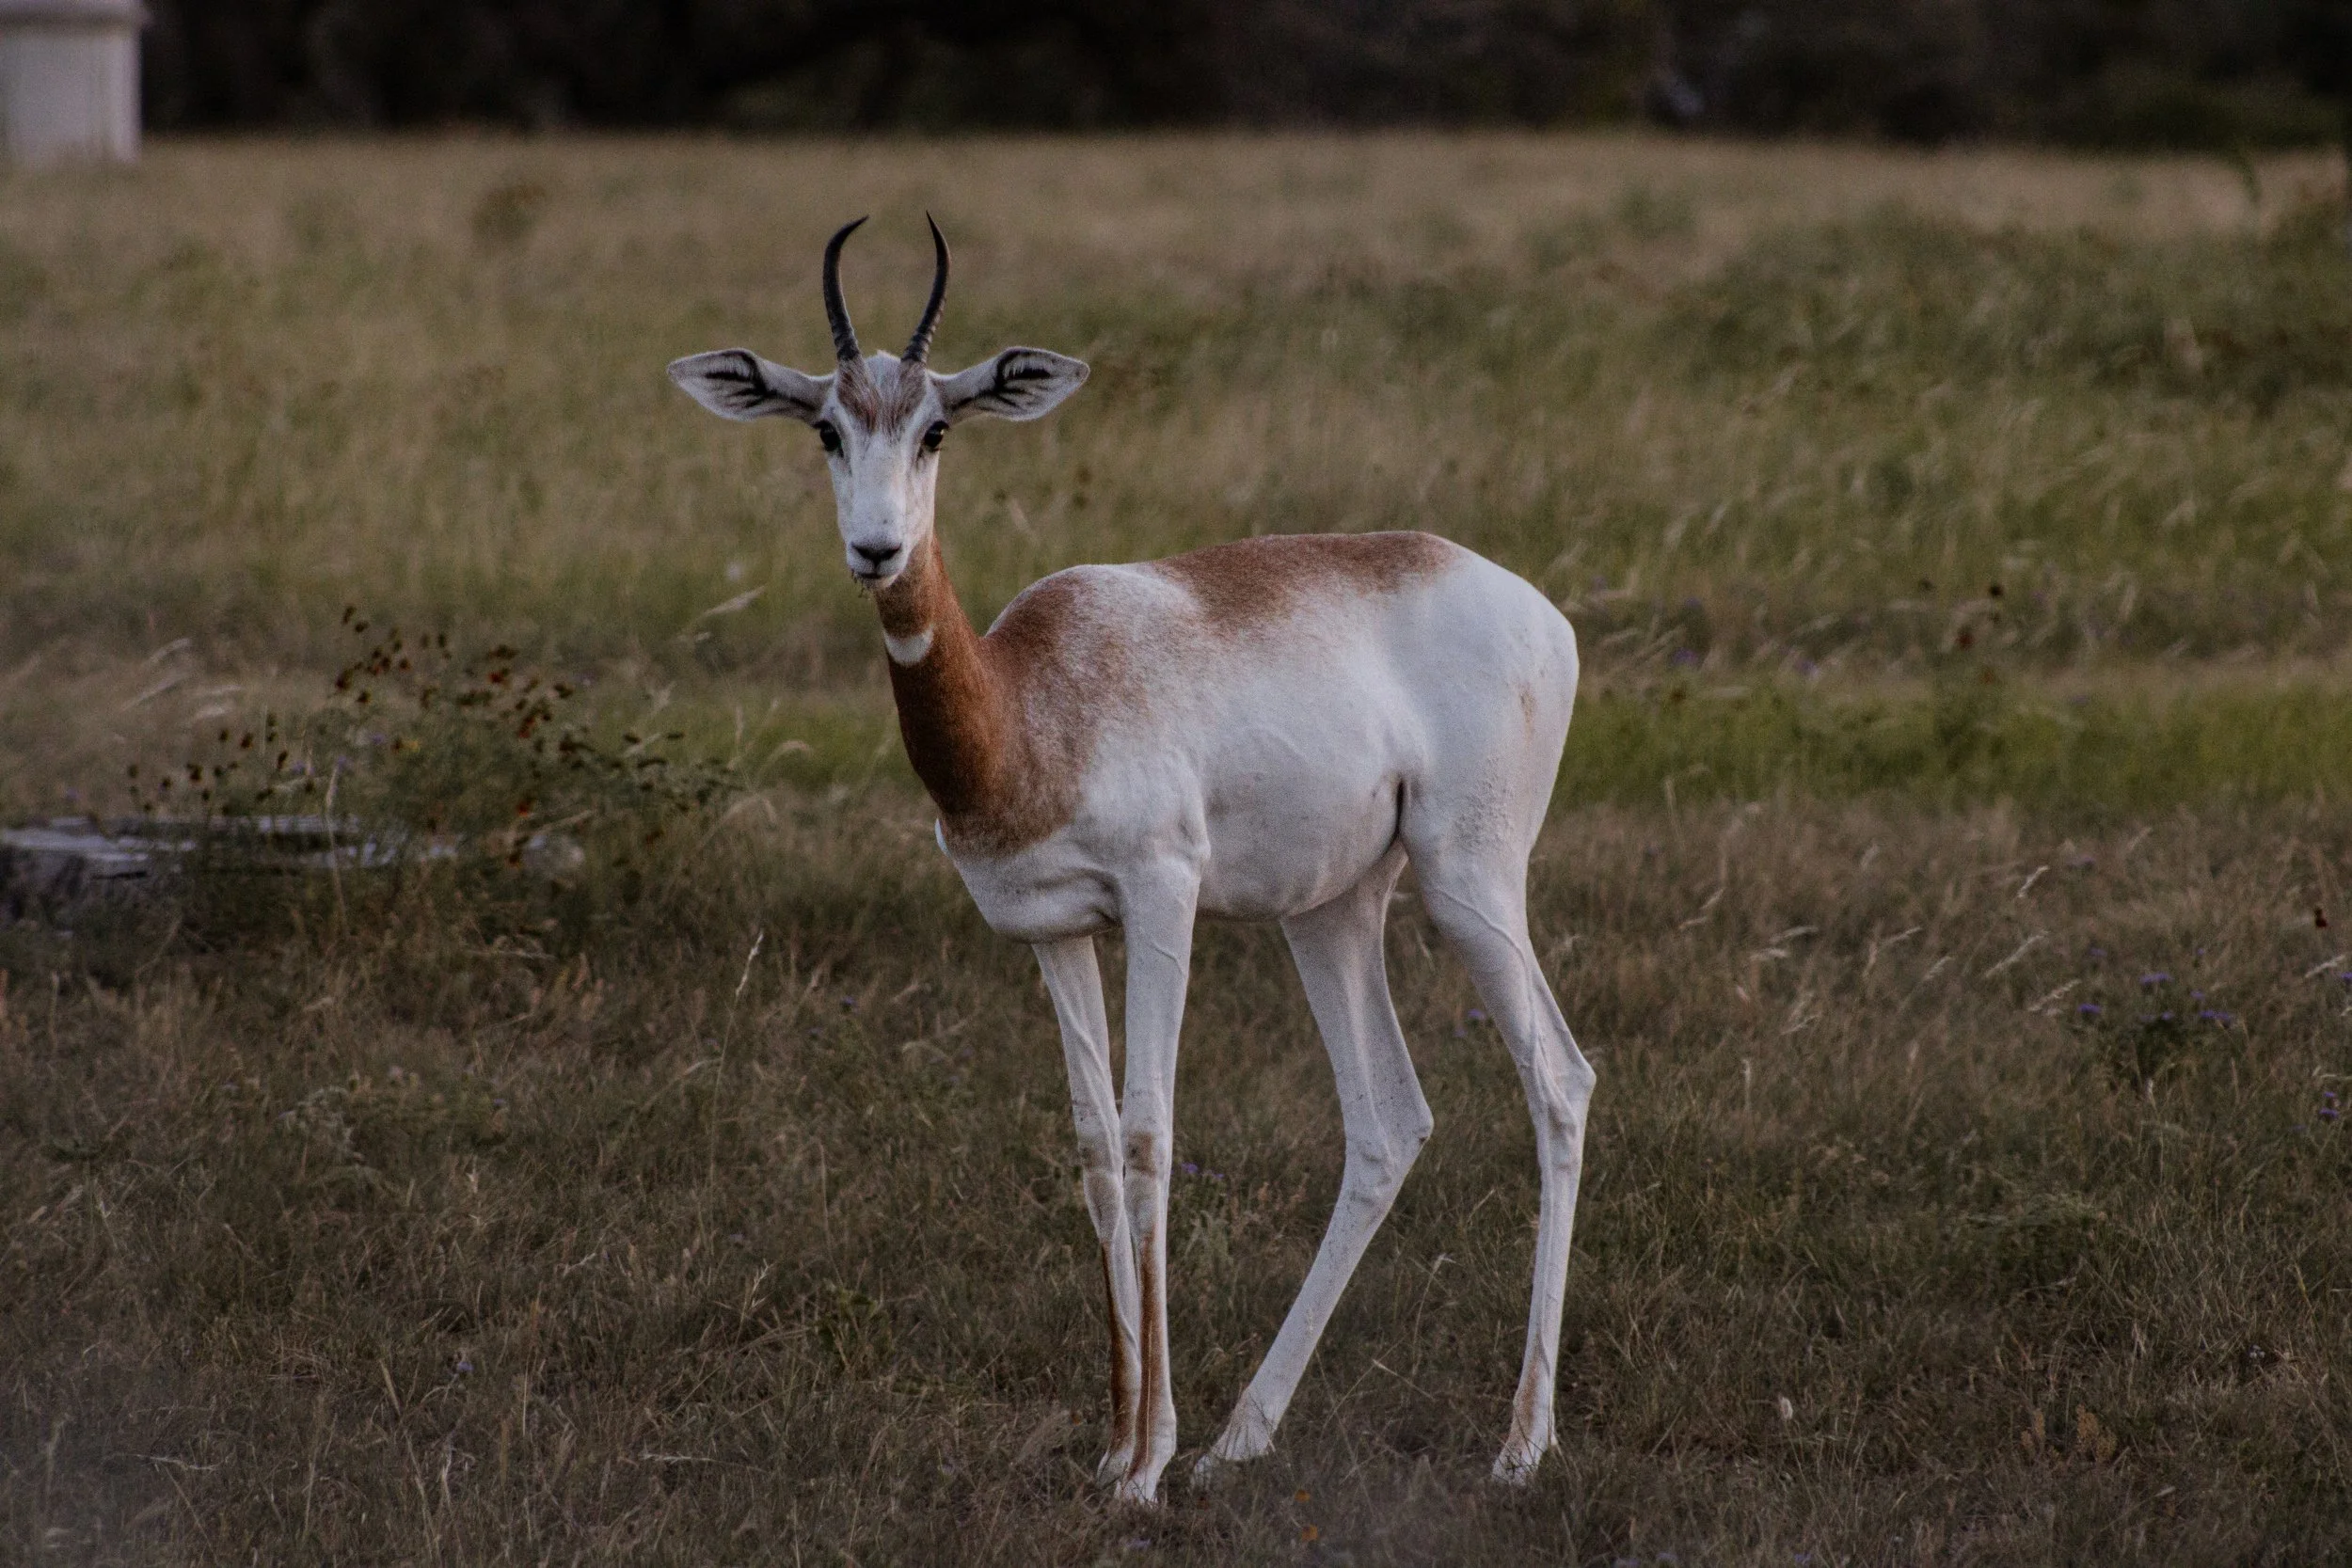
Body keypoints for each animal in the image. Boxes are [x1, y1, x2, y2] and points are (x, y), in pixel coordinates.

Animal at [669, 218, 1593, 1505]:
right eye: (825, 427)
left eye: (937, 426)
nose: (877, 548)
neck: (1029, 703)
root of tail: (1537, 609)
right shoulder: (1052, 929)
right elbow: (1096, 1145)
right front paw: (1119, 1441)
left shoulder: (1163, 895)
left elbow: (1154, 1134)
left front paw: (1144, 1462)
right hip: (1331, 909)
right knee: (1386, 1122)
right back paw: (1241, 1434)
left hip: (1470, 882)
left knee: (1558, 1080)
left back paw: (1517, 1445)